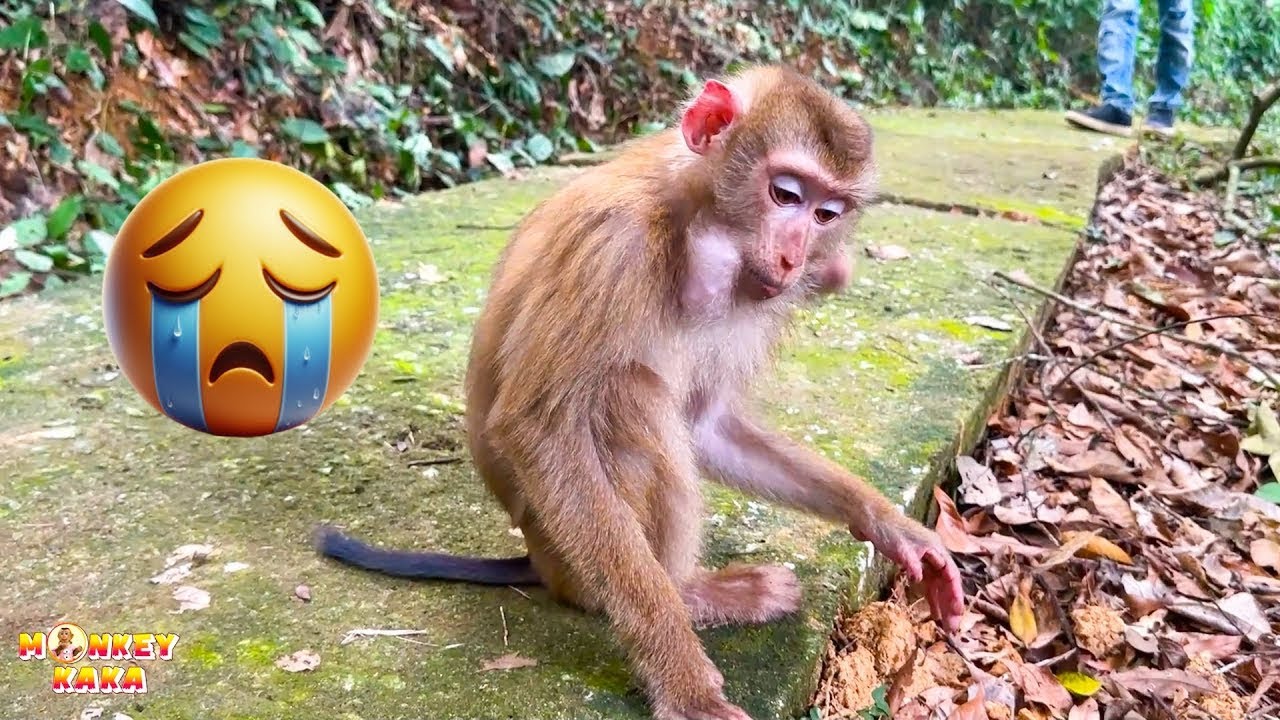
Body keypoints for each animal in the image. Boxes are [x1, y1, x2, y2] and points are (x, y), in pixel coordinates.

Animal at [317, 64, 963, 720]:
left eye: (827, 213)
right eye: (785, 195)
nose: (794, 258)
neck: (685, 220)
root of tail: (539, 561)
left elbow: (707, 427)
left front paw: (887, 523)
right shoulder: (612, 246)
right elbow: (540, 428)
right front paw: (683, 682)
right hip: (564, 551)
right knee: (628, 395)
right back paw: (688, 596)